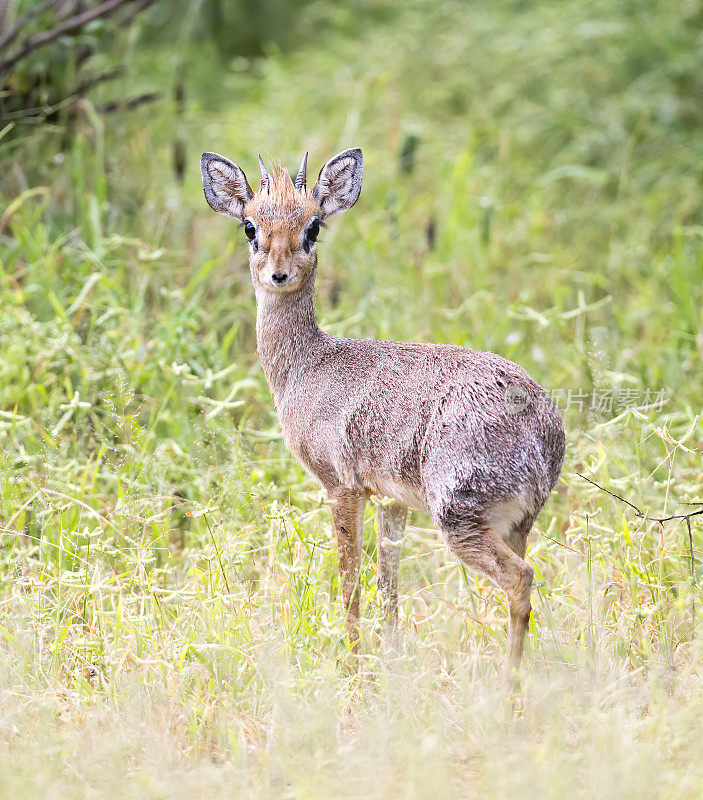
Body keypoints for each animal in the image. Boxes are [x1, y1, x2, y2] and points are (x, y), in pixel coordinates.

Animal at [199, 145, 568, 668]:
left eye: (313, 226)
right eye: (250, 227)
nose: (279, 273)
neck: (308, 364)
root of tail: (541, 422)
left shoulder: (340, 485)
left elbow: (351, 583)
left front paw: (353, 668)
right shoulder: (391, 500)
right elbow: (388, 586)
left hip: (458, 516)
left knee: (521, 578)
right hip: (516, 521)